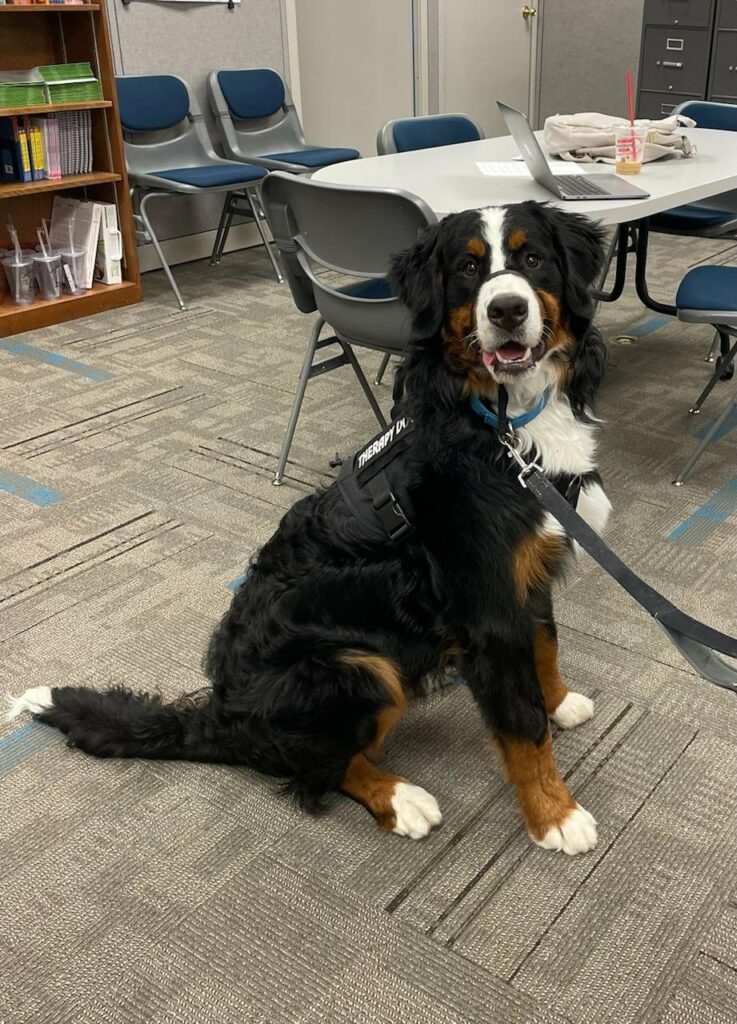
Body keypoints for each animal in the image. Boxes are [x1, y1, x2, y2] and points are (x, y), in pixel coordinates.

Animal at [10, 199, 610, 856]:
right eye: (469, 269)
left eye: (534, 259)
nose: (506, 310)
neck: (503, 424)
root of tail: (221, 715)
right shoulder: (487, 610)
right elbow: (521, 725)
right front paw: (555, 814)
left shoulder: (528, 575)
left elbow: (546, 645)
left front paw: (560, 702)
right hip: (360, 670)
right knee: (311, 768)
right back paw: (402, 799)